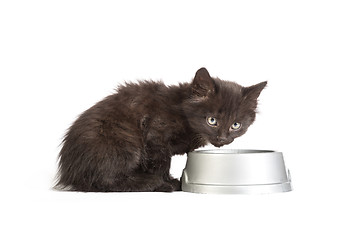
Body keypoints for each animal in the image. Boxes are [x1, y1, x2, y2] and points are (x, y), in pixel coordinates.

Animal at [54, 68, 266, 192]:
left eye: (236, 125)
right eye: (212, 120)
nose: (222, 138)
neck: (182, 110)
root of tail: (69, 172)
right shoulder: (155, 135)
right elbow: (161, 163)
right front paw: (167, 182)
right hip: (123, 142)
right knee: (104, 181)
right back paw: (149, 183)